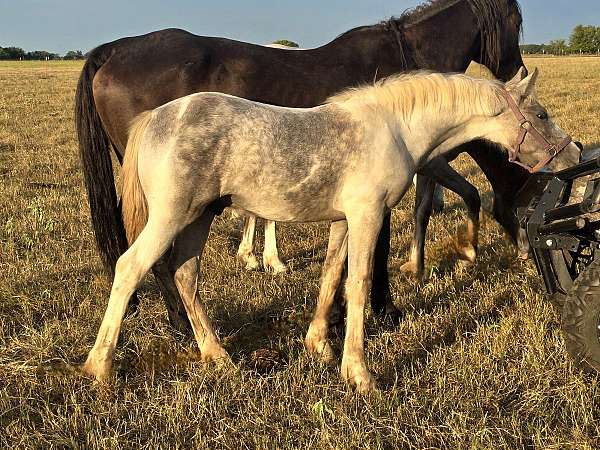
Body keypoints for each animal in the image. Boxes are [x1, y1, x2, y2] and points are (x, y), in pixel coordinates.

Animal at [74, 0, 524, 330]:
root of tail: (115, 51)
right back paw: (184, 325)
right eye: (516, 21)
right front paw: (385, 308)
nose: (516, 70)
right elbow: (381, 245)